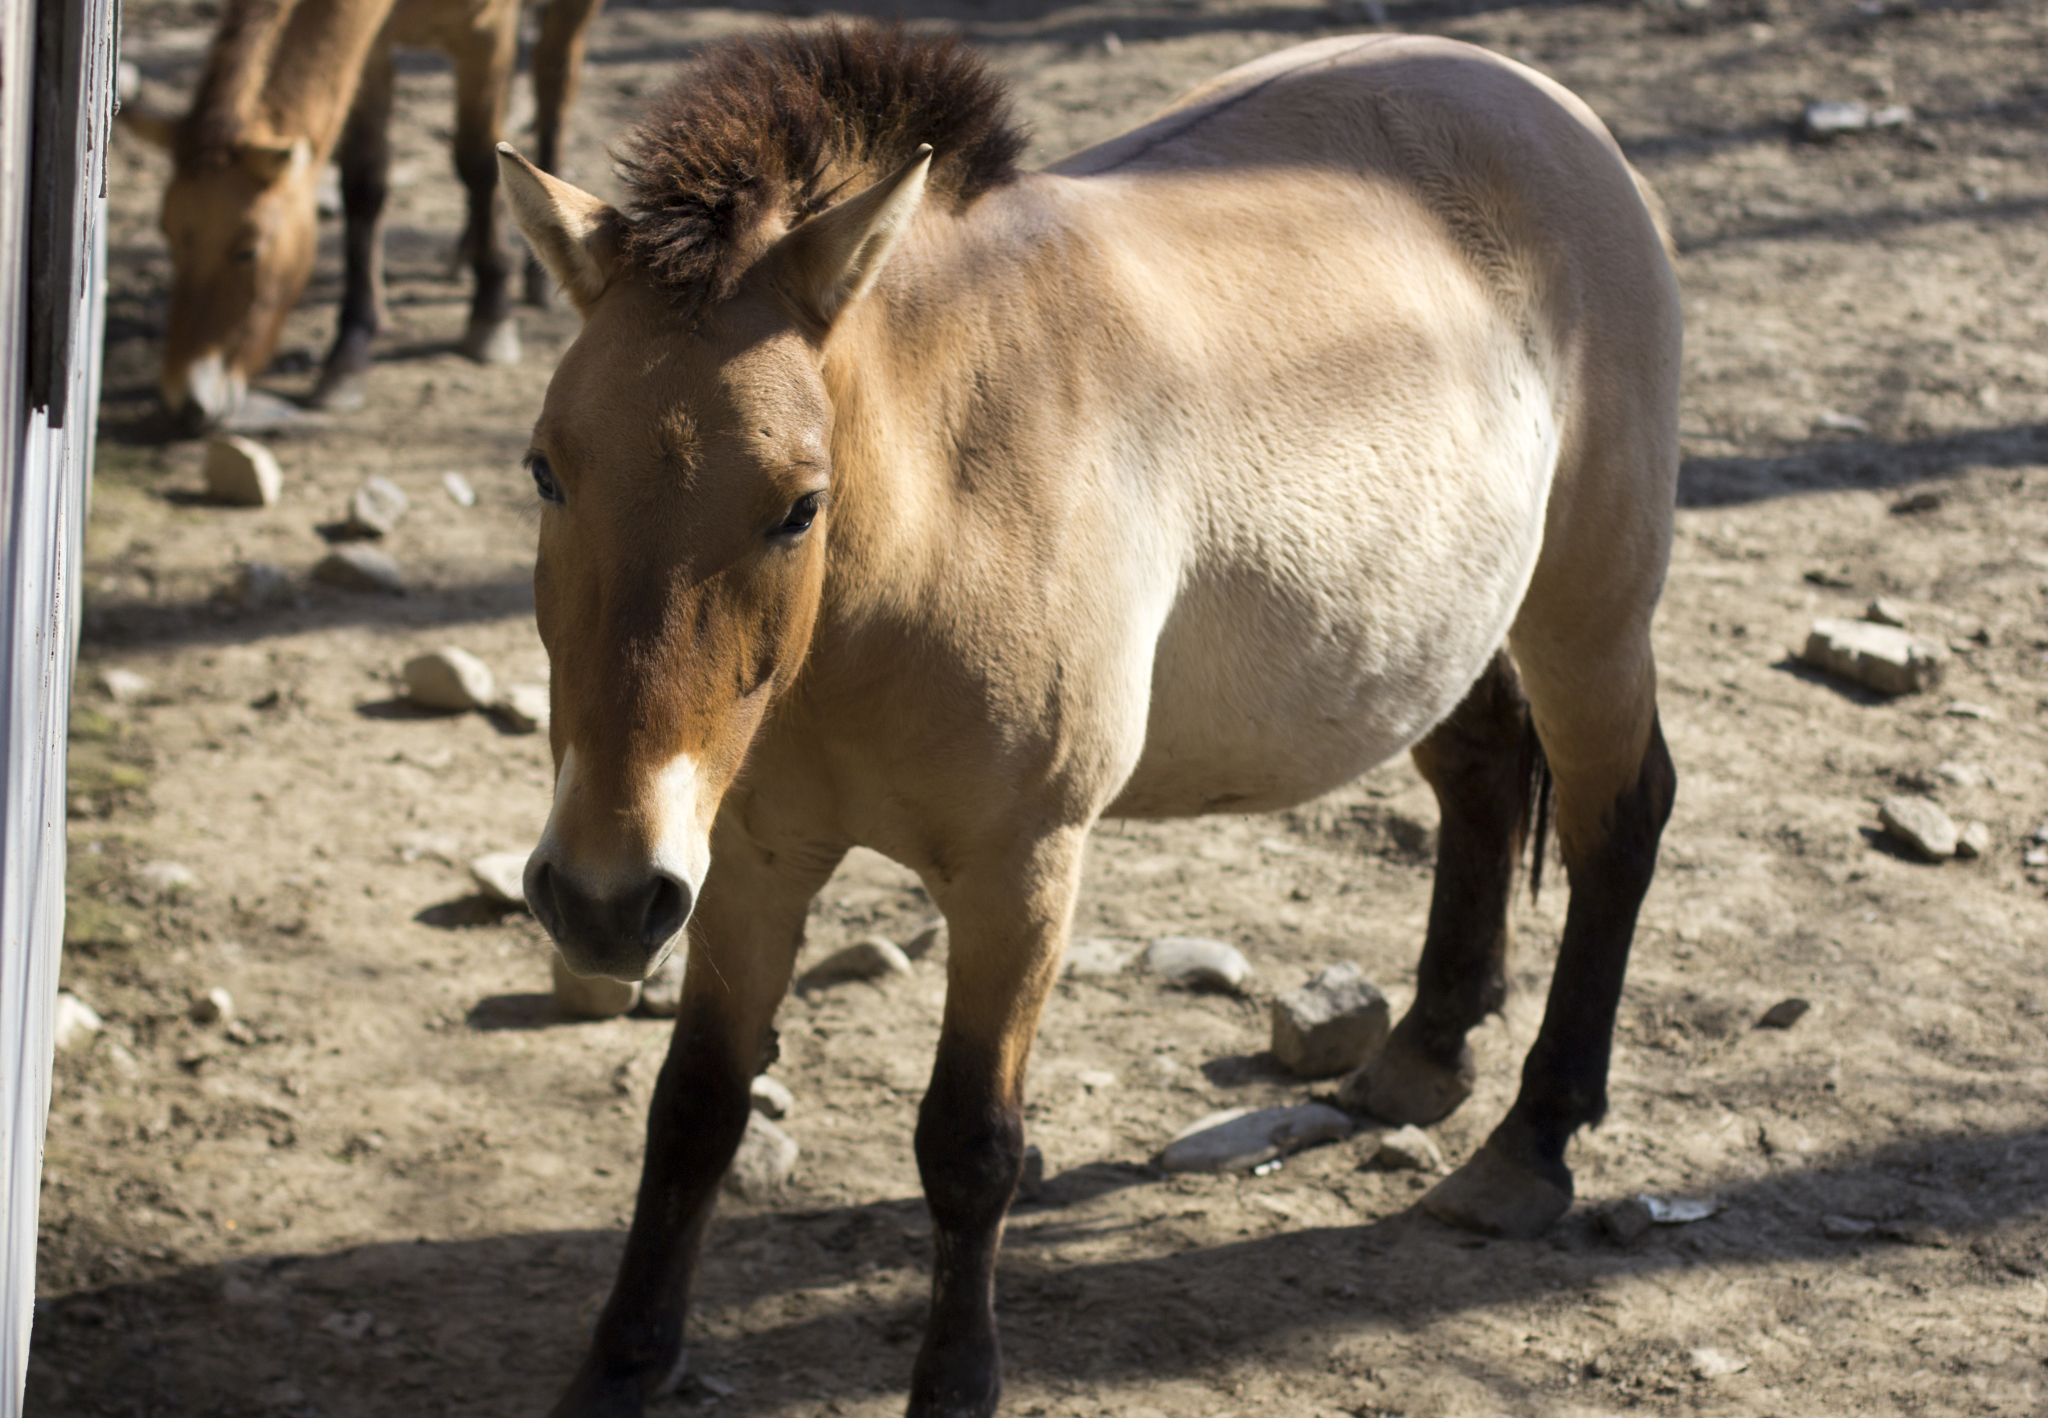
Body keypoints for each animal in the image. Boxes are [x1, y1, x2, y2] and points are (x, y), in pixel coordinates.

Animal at [119, 0, 602, 432]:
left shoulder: (486, 33)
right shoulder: (369, 55)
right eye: (168, 237)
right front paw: (349, 352)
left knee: (554, 80)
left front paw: (491, 314)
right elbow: (363, 186)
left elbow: (479, 163)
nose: (186, 402)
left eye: (248, 251)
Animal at [499, 24, 1679, 1418]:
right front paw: (619, 1366)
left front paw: (956, 1384)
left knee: (1618, 822)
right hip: (1435, 621)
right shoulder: (746, 856)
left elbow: (967, 1143)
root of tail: (1533, 97)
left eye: (797, 505)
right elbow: (694, 1106)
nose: (598, 898)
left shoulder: (1022, 872)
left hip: (1585, 614)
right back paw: (1421, 1052)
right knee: (1482, 770)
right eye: (545, 470)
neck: (928, 526)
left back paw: (1529, 1144)